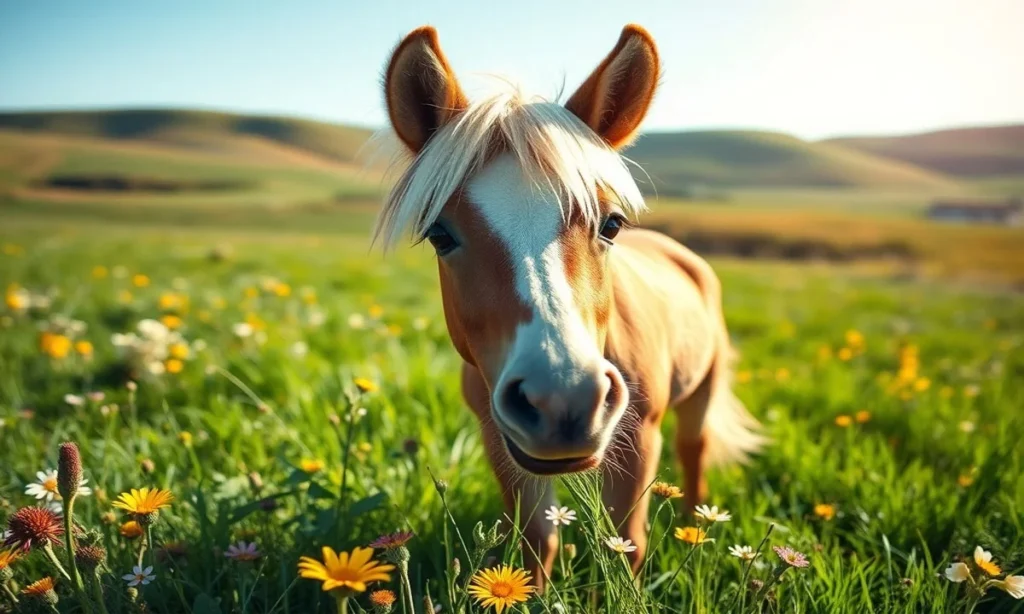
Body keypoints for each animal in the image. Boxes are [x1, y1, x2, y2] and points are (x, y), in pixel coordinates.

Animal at [373, 23, 766, 586]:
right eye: (440, 235)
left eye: (612, 223)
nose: (563, 398)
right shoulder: (501, 442)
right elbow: (538, 543)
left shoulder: (639, 441)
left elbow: (626, 546)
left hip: (701, 392)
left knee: (695, 455)